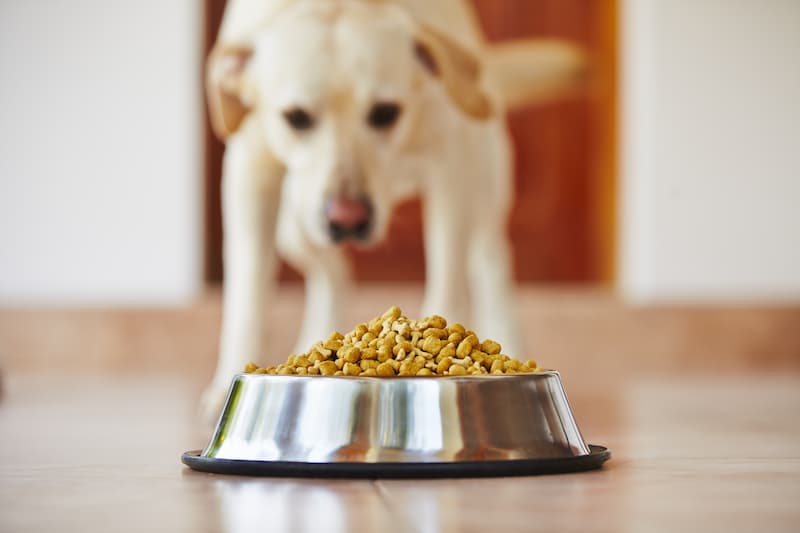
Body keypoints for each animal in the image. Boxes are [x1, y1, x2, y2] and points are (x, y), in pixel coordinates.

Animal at [203, 0, 584, 416]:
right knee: (331, 275)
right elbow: (248, 295)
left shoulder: (452, 172)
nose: (347, 219)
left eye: (386, 112)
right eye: (296, 117)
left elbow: (448, 284)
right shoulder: (249, 172)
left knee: (491, 261)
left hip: (484, 187)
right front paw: (225, 386)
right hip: (294, 225)